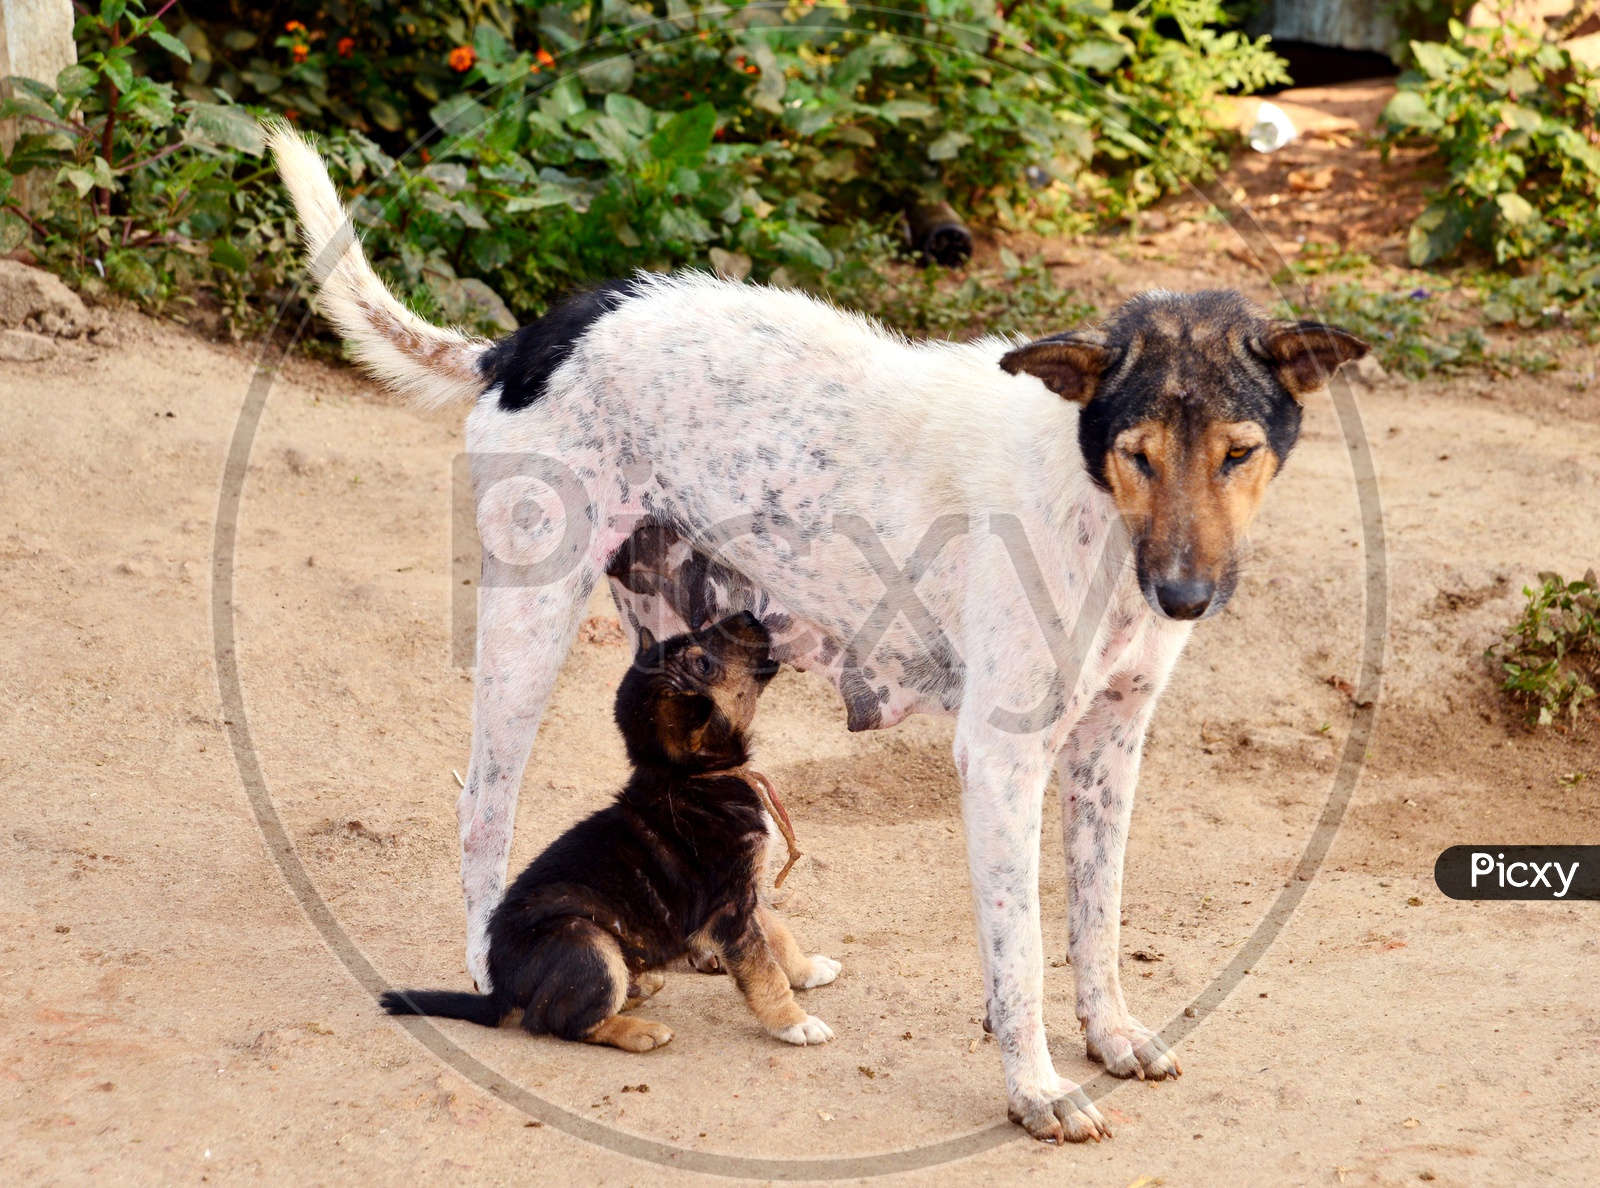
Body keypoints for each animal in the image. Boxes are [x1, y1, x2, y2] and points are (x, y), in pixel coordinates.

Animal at [384, 614, 838, 1050]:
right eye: (703, 665)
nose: (749, 614)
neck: (690, 778)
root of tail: (502, 992)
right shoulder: (731, 908)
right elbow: (763, 972)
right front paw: (794, 1023)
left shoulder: (745, 891)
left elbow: (777, 934)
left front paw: (807, 970)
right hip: (585, 939)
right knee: (555, 1020)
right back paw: (639, 1030)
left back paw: (640, 987)